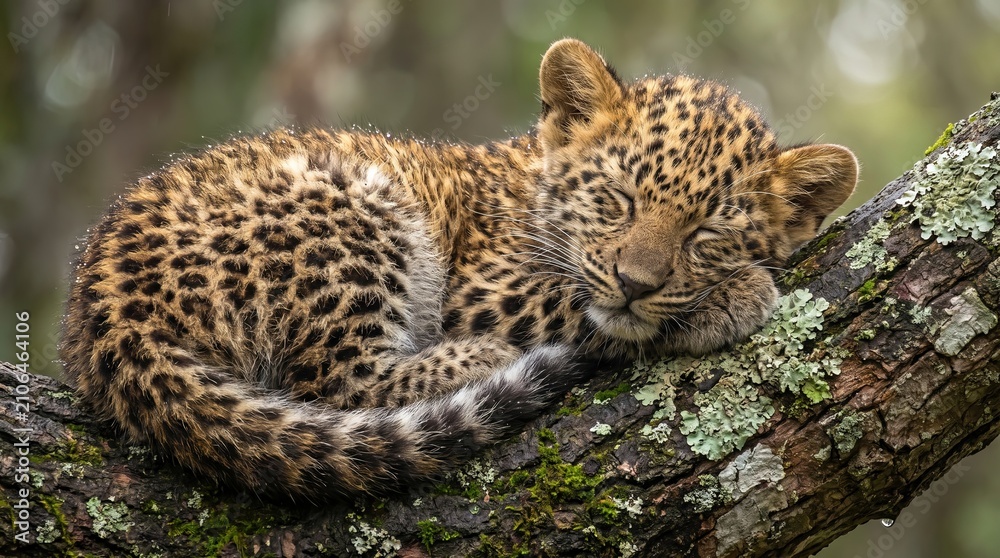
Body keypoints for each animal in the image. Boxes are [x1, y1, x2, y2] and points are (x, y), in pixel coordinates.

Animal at [59, 38, 857, 500]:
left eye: (708, 231)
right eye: (617, 199)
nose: (638, 283)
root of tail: (105, 309)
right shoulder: (482, 287)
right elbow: (578, 303)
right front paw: (731, 297)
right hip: (352, 201)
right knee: (336, 381)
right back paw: (481, 358)